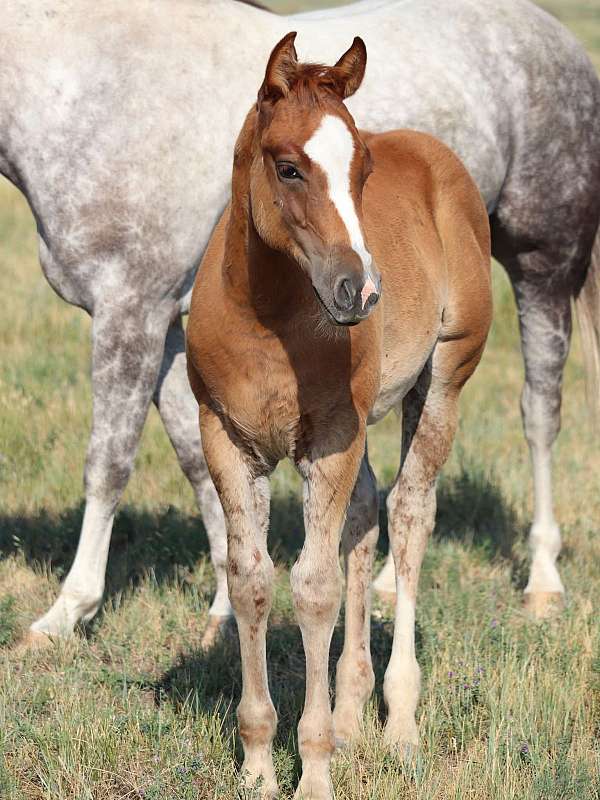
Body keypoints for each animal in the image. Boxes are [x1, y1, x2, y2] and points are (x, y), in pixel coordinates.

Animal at [1, 0, 598, 646]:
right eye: (287, 169)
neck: (95, 86)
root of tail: (559, 41)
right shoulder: (169, 333)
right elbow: (198, 465)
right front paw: (223, 606)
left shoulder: (128, 309)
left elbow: (108, 464)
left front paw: (65, 612)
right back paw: (386, 586)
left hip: (541, 270)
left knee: (539, 415)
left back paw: (543, 582)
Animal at [186, 31, 492, 800]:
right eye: (288, 167)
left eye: (363, 168)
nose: (361, 290)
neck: (265, 316)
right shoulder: (225, 437)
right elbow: (251, 578)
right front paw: (259, 766)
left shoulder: (328, 441)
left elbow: (314, 587)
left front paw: (315, 769)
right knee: (365, 515)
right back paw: (353, 714)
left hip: (443, 381)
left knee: (409, 515)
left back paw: (399, 724)